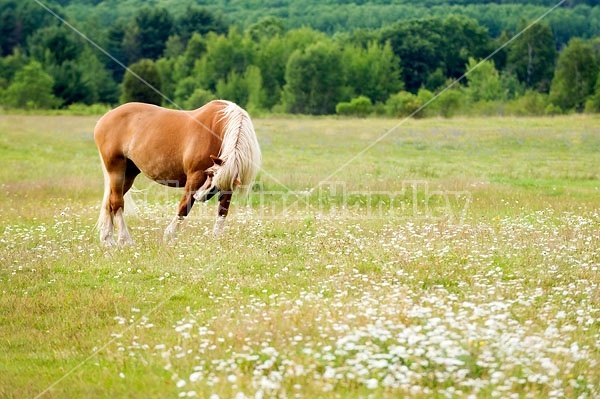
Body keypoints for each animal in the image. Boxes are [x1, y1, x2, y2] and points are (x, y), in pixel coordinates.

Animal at [94, 100, 260, 245]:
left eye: (214, 176)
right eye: (209, 173)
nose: (200, 196)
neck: (216, 129)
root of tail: (105, 117)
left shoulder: (226, 183)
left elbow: (222, 212)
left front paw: (216, 240)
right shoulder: (195, 176)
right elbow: (184, 206)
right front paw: (170, 235)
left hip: (129, 174)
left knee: (110, 202)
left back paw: (107, 240)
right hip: (116, 170)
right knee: (116, 202)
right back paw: (125, 240)